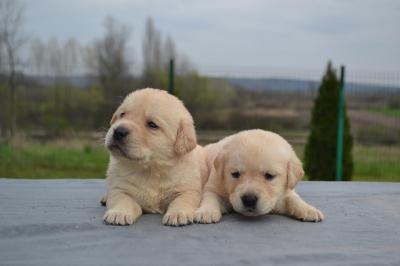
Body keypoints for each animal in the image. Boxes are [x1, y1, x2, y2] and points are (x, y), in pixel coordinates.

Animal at [103, 88, 208, 225]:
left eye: (152, 125)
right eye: (122, 114)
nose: (118, 131)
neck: (151, 170)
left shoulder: (188, 189)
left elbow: (182, 200)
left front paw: (178, 214)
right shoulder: (119, 187)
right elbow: (121, 199)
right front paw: (119, 213)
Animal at [195, 130, 324, 223]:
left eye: (269, 176)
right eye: (235, 174)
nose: (249, 200)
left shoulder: (286, 191)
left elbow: (294, 199)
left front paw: (309, 209)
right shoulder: (214, 185)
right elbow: (210, 197)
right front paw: (206, 212)